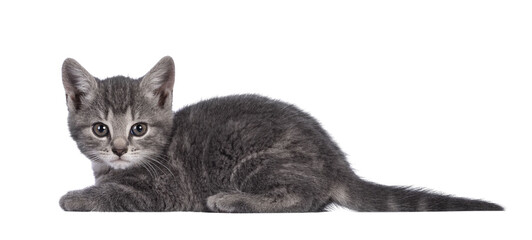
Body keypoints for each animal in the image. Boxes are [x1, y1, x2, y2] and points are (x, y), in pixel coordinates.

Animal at [59, 56, 502, 212]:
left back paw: (229, 200)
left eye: (139, 128)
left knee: (302, 199)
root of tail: (336, 161)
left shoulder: (160, 190)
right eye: (100, 129)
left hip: (257, 158)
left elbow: (113, 195)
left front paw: (74, 197)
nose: (119, 149)